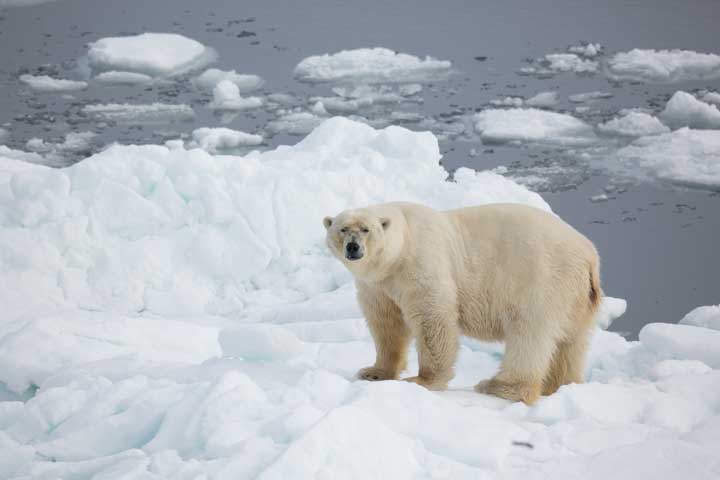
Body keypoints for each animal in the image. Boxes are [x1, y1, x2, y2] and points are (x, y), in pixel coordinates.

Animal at [323, 201, 602, 405]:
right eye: (342, 229)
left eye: (366, 229)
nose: (353, 247)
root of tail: (590, 256)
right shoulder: (378, 285)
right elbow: (386, 323)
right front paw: (374, 372)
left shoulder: (421, 263)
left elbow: (433, 317)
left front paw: (422, 380)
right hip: (576, 297)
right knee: (570, 343)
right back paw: (558, 385)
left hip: (541, 280)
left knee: (529, 335)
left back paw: (499, 386)